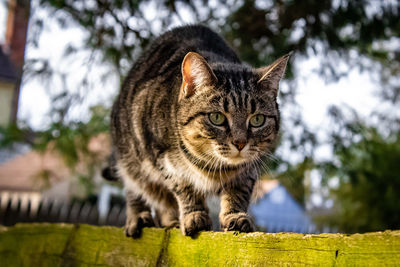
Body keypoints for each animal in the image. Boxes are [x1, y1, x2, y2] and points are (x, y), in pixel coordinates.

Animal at [108, 25, 290, 238]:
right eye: (217, 118)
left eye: (257, 120)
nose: (240, 143)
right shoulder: (166, 161)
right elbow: (185, 189)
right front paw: (194, 215)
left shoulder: (249, 169)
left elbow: (238, 192)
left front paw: (235, 216)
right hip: (128, 156)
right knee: (136, 188)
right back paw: (139, 217)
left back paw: (170, 221)